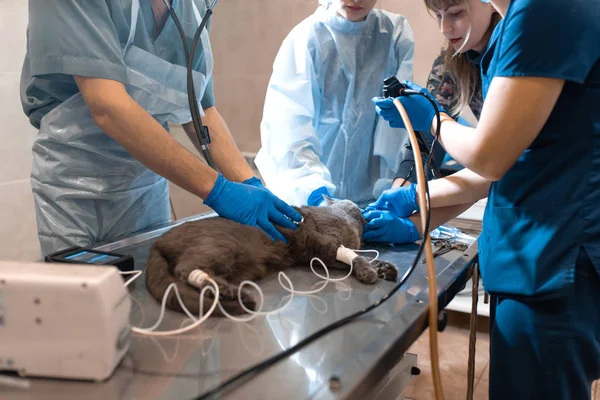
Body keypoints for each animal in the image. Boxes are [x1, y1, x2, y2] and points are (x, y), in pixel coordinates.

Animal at [145, 197, 398, 316]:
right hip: (223, 247)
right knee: (185, 269)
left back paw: (233, 294)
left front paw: (384, 267)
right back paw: (232, 293)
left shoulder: (322, 256)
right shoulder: (325, 243)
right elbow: (356, 257)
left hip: (243, 266)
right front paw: (369, 271)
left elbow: (354, 258)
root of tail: (158, 241)